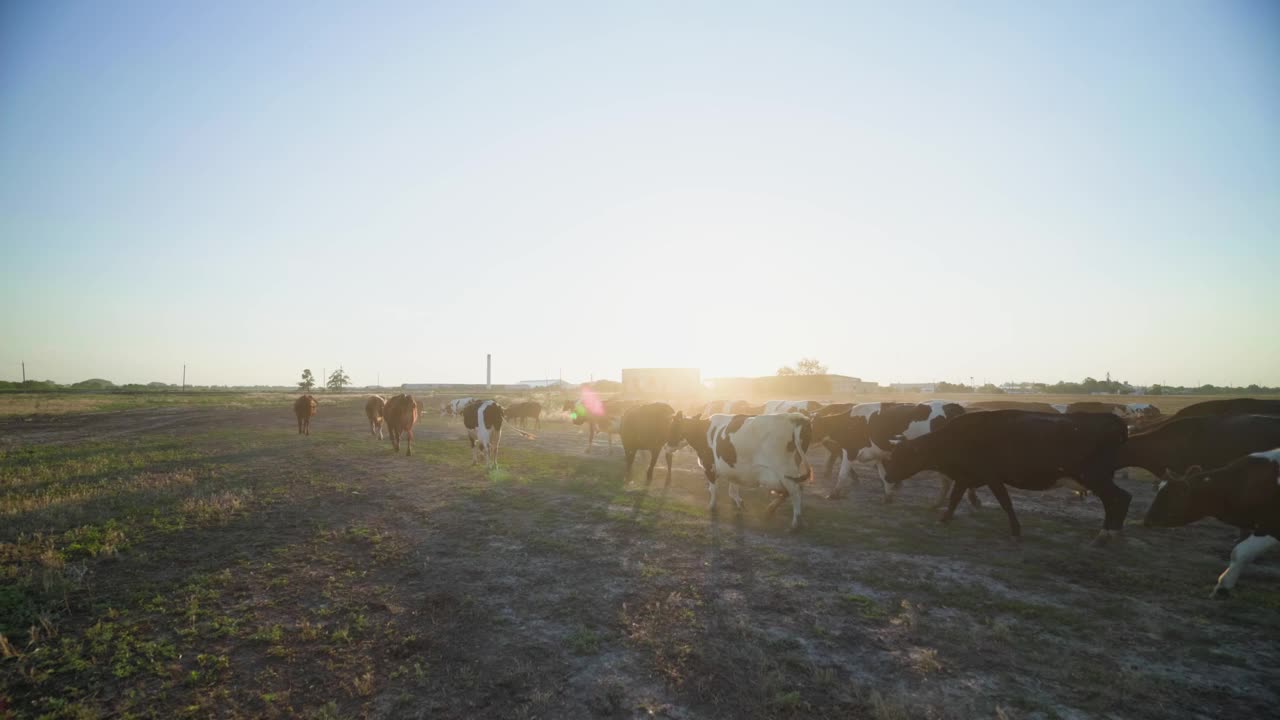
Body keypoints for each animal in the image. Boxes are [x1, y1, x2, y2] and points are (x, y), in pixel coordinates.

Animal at [665, 412, 814, 530]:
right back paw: (770, 510)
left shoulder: (709, 466)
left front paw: (712, 506)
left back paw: (795, 522)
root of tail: (796, 418)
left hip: (785, 470)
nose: (665, 447)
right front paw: (739, 504)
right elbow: (733, 489)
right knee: (793, 490)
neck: (702, 431)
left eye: (672, 427)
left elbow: (713, 488)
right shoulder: (732, 469)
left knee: (795, 491)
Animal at [885, 407, 1126, 540]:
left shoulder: (992, 477)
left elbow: (1005, 502)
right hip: (1098, 479)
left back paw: (1109, 534)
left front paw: (1016, 530)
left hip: (1096, 477)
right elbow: (954, 498)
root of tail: (1113, 419)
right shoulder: (965, 476)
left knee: (1120, 498)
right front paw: (944, 518)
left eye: (902, 457)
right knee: (1114, 500)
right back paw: (1108, 533)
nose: (887, 477)